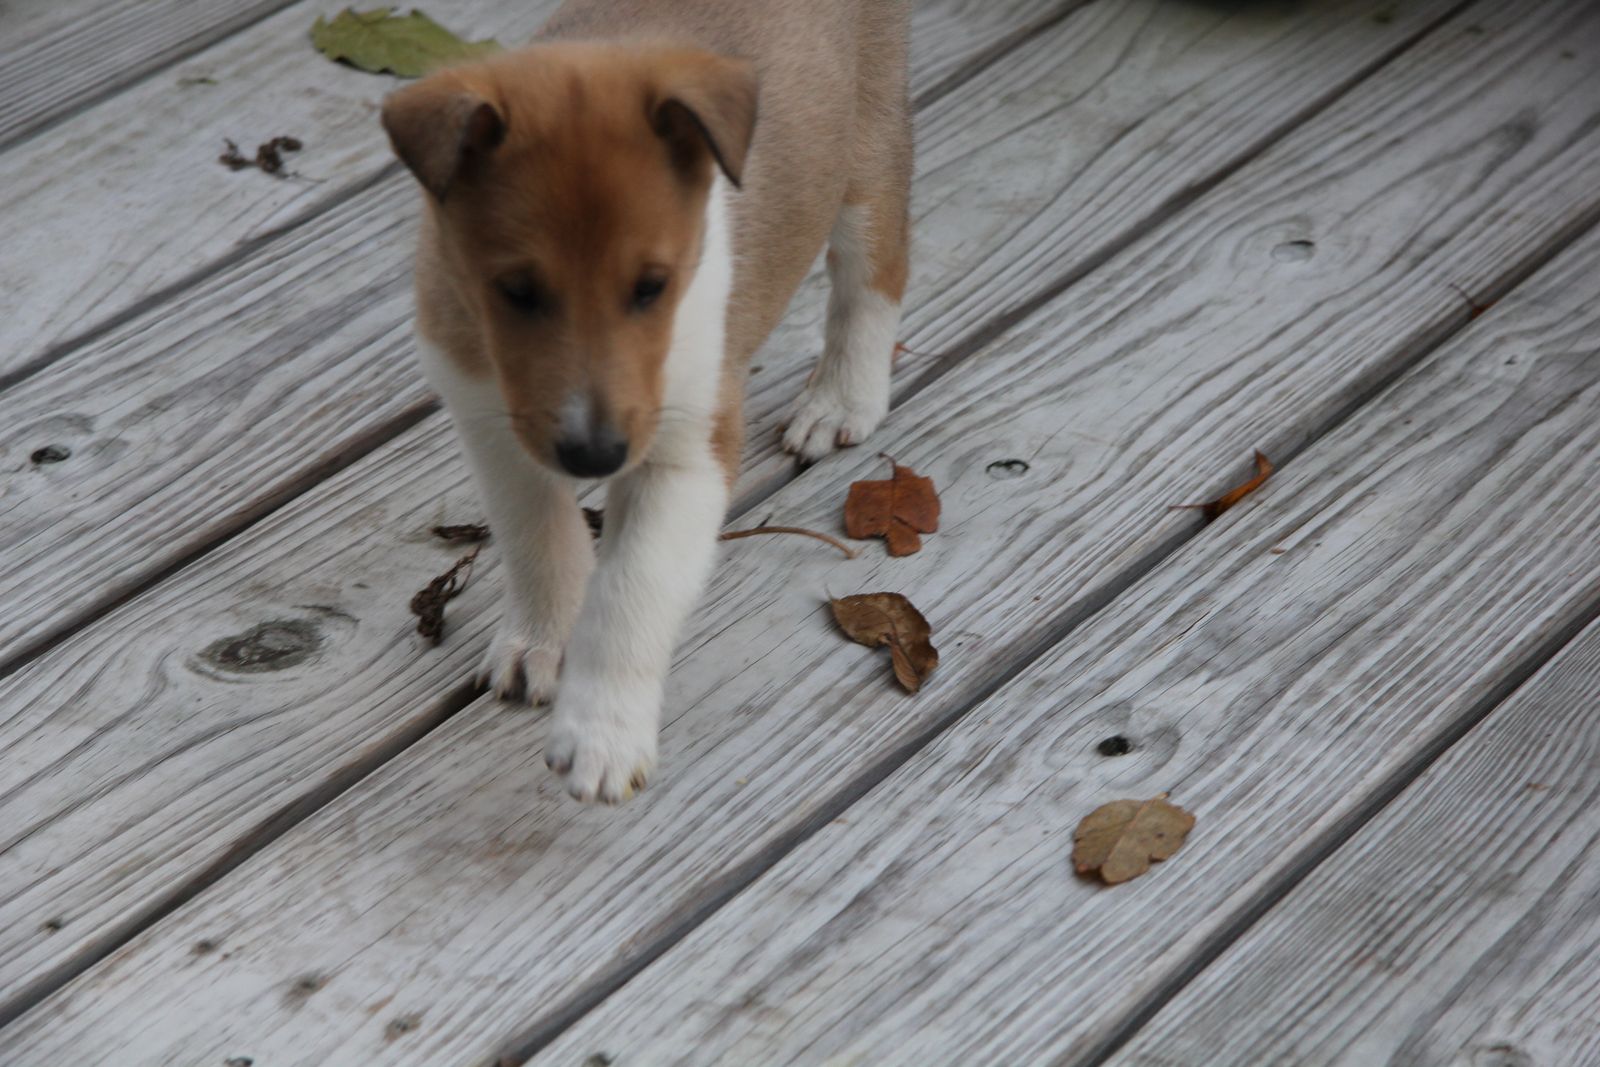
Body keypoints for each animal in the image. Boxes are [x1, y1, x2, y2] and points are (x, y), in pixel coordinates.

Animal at [382, 0, 912, 803]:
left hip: (868, 138)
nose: (595, 453)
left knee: (874, 267)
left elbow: (633, 586)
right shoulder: (495, 429)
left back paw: (840, 399)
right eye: (516, 291)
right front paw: (540, 644)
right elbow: (540, 542)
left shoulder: (686, 455)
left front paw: (601, 736)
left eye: (652, 287)